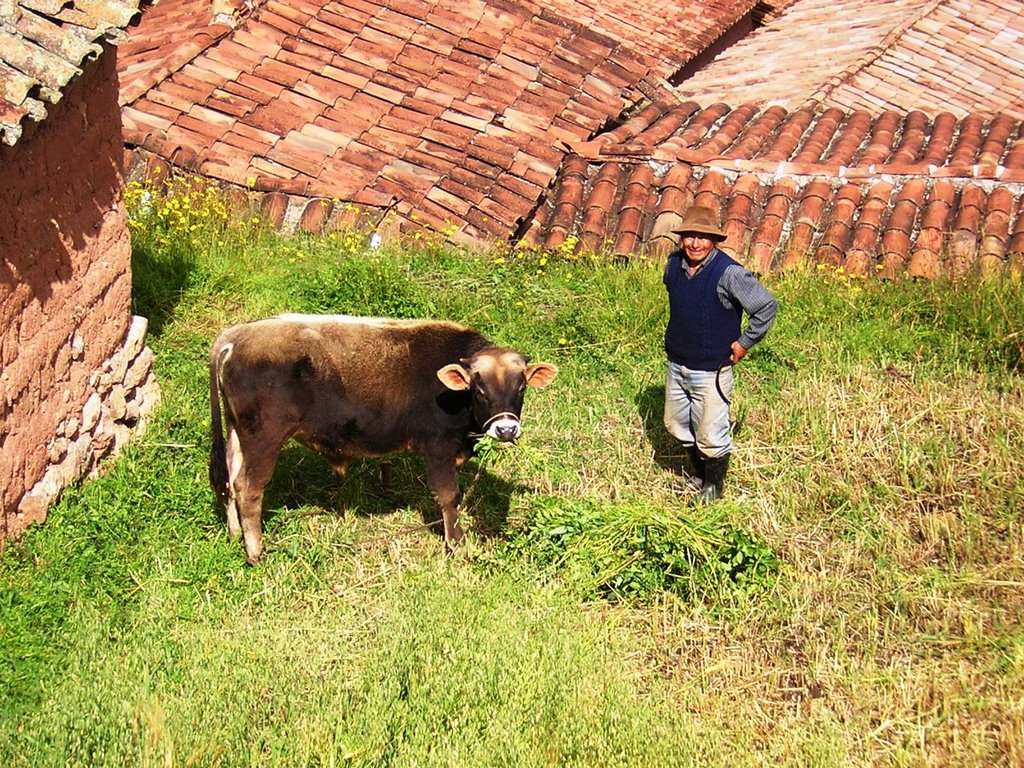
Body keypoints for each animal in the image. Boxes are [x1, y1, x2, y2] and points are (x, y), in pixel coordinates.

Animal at [209, 313, 561, 565]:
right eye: (479, 389)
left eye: (521, 387)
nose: (506, 429)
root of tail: (235, 336)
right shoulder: (438, 446)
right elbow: (448, 496)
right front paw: (457, 546)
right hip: (264, 437)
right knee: (249, 490)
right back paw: (256, 553)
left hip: (237, 432)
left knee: (230, 480)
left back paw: (234, 535)